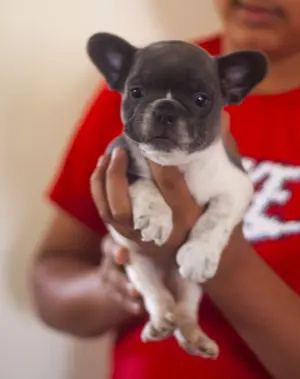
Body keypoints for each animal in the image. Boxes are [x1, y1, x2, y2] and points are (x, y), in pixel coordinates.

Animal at [86, 32, 268, 360]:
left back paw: (195, 339)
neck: (178, 165)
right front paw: (155, 218)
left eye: (201, 99)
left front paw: (199, 254)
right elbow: (143, 183)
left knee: (185, 309)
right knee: (157, 297)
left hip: (192, 286)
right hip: (135, 265)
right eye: (136, 92)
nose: (166, 109)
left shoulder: (237, 185)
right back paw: (161, 322)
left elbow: (215, 219)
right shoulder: (115, 161)